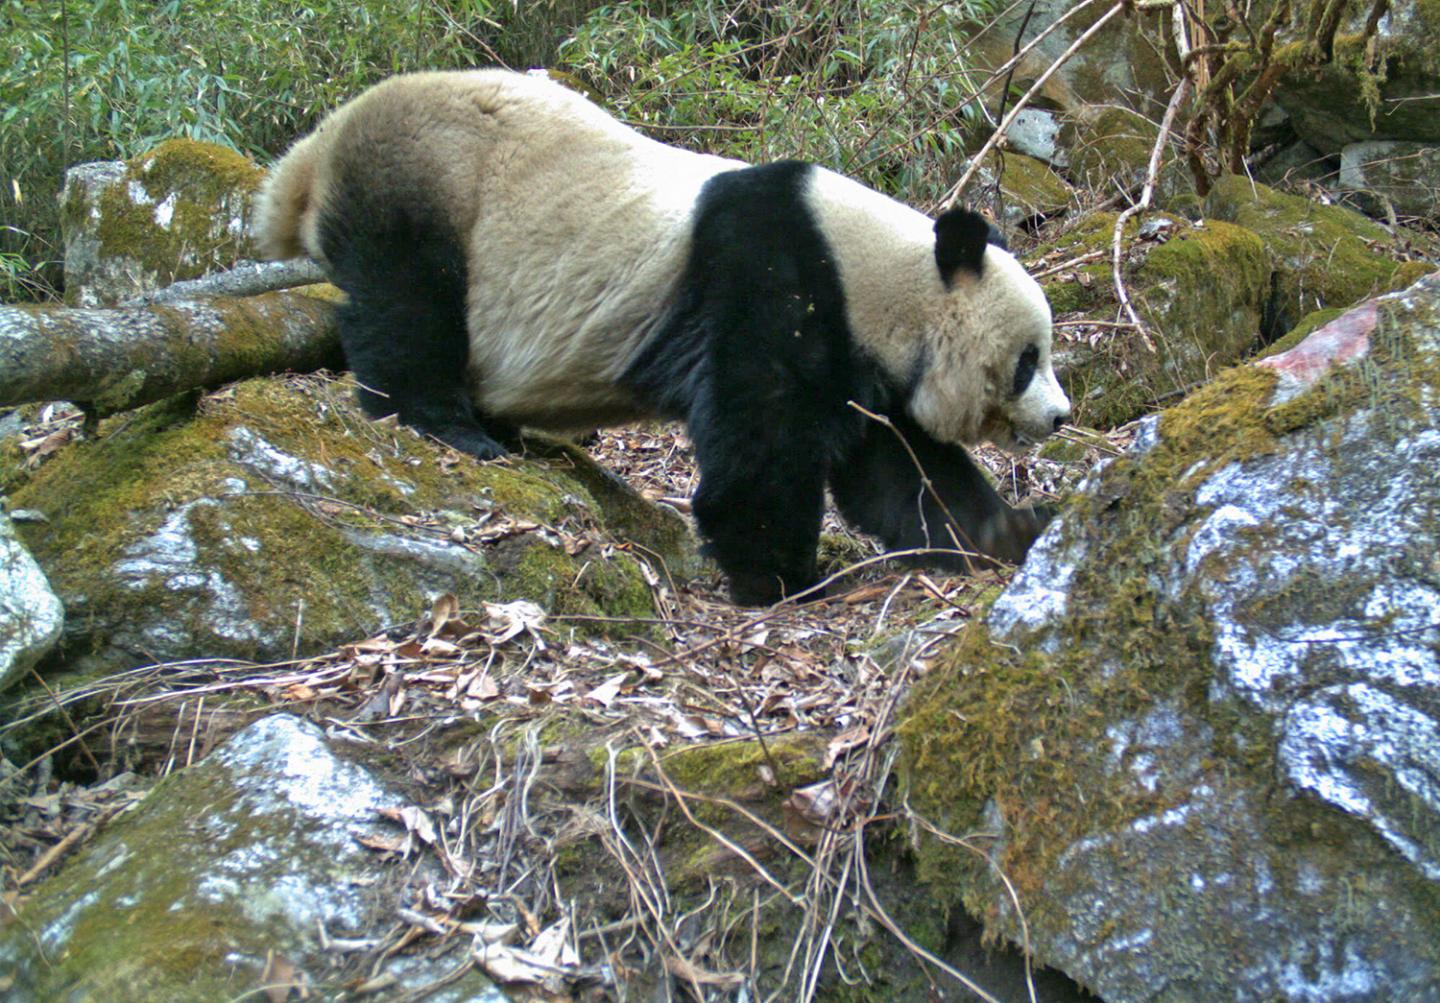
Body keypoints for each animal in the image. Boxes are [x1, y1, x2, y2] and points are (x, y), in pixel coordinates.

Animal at [256, 69, 1071, 606]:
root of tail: (317, 150)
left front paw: (1013, 532)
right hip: (427, 182)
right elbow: (761, 447)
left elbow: (903, 472)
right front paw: (782, 578)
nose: (1061, 417)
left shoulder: (863, 358)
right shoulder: (771, 284)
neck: (881, 276)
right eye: (1029, 360)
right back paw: (450, 425)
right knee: (407, 304)